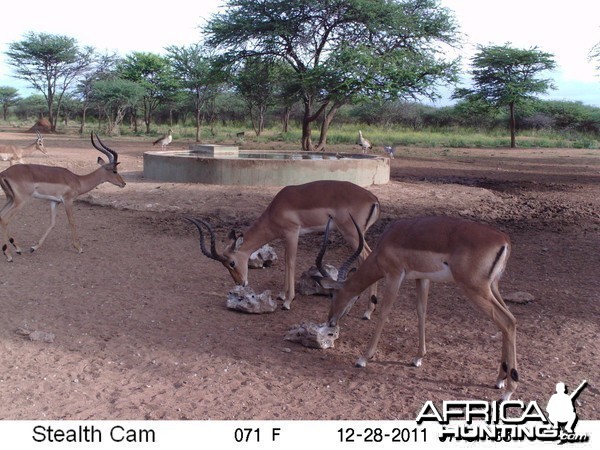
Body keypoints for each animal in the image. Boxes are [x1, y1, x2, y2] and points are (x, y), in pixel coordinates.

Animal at [0, 132, 125, 262]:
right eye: (114, 171)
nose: (123, 183)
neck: (78, 180)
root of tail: (3, 173)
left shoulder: (54, 202)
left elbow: (52, 223)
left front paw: (33, 247)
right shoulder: (68, 201)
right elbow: (72, 221)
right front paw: (79, 248)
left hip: (10, 199)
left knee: (1, 216)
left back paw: (17, 249)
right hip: (20, 201)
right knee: (5, 219)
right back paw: (9, 255)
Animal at [188, 178, 380, 310]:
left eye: (232, 263)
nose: (240, 283)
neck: (277, 208)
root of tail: (373, 198)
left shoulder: (292, 233)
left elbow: (291, 262)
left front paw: (288, 301)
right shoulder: (285, 237)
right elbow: (287, 262)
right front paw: (282, 295)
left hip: (352, 234)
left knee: (368, 257)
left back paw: (368, 311)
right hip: (358, 236)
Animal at [316, 214, 516, 400]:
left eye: (333, 294)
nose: (331, 321)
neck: (387, 241)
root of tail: (504, 240)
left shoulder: (394, 276)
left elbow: (384, 312)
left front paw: (363, 358)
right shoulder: (422, 278)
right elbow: (421, 312)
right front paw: (418, 358)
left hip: (475, 289)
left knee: (507, 321)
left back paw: (508, 391)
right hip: (492, 287)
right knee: (509, 321)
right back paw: (500, 380)